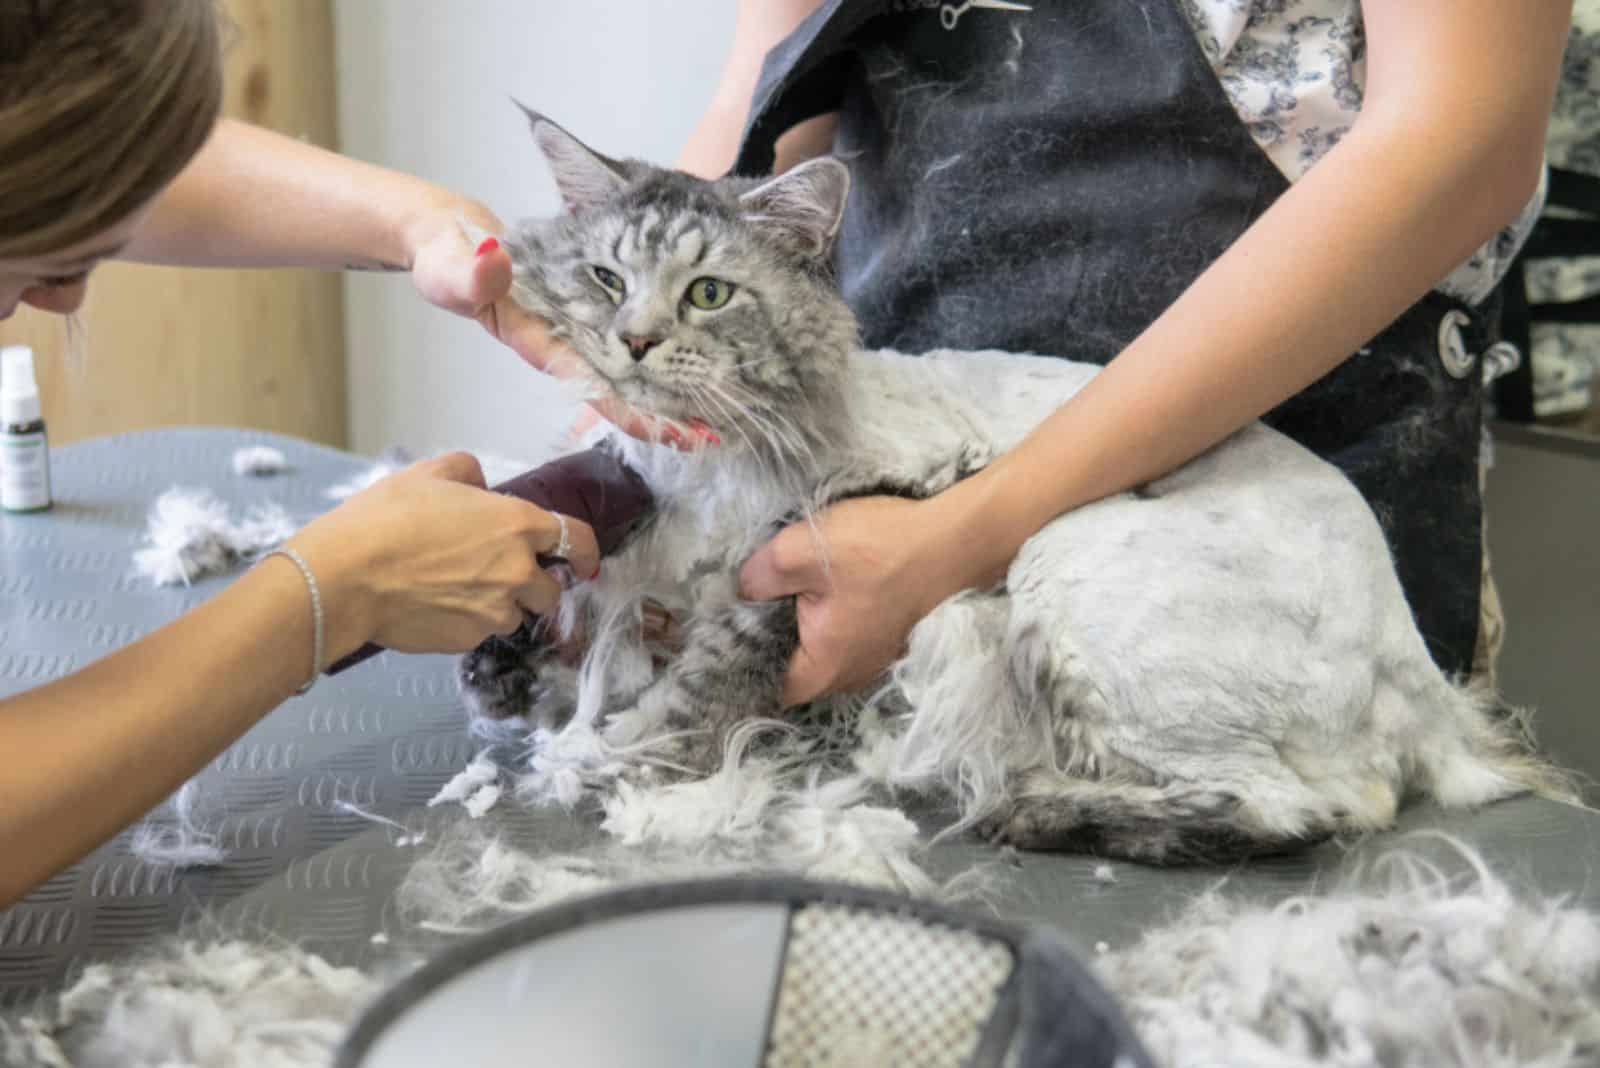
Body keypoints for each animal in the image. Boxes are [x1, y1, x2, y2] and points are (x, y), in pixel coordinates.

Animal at [457, 112, 1568, 869]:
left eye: (708, 294)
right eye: (605, 279)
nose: (635, 341)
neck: (704, 466)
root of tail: (1424, 676)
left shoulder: (803, 560)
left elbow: (700, 693)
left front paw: (623, 767)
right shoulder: (638, 559)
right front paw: (504, 658)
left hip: (1062, 563)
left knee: (1306, 810)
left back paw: (1028, 806)